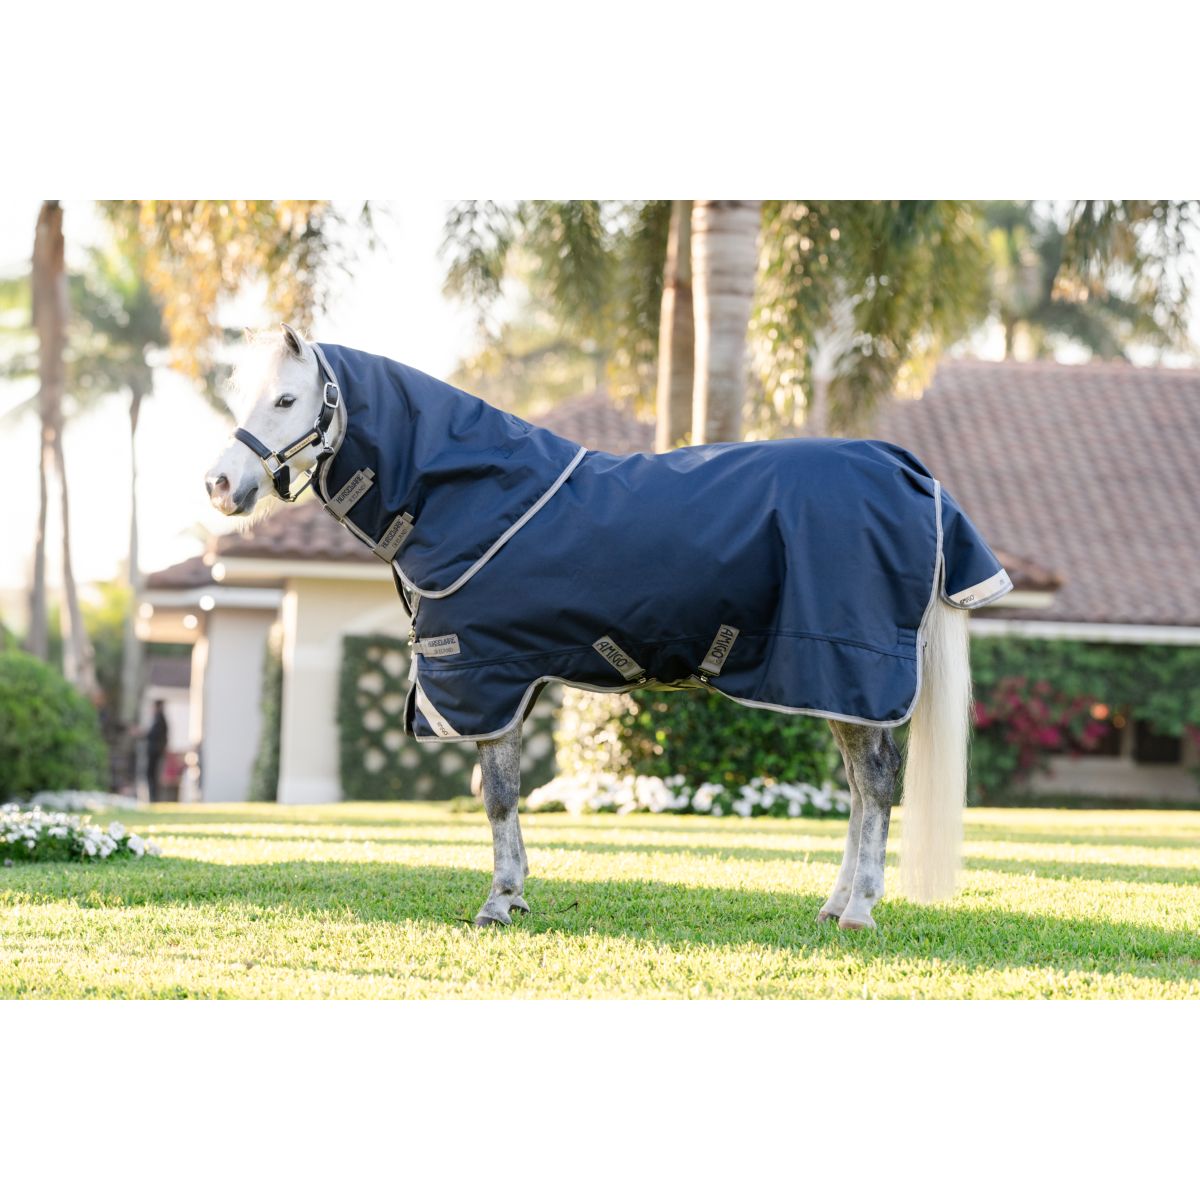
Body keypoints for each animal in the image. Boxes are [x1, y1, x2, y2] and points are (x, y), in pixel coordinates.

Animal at [205, 325, 1010, 930]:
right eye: (245, 395)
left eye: (286, 398)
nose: (219, 486)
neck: (468, 498)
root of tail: (913, 473)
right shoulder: (506, 683)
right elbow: (501, 795)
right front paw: (515, 895)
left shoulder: (486, 679)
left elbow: (496, 796)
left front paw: (499, 902)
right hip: (837, 687)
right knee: (859, 789)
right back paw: (836, 904)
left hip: (849, 672)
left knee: (874, 788)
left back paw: (859, 910)